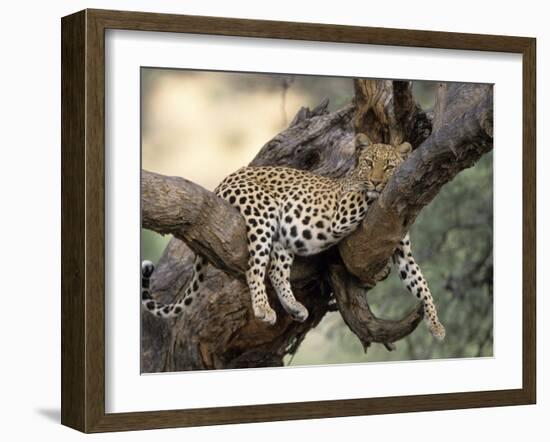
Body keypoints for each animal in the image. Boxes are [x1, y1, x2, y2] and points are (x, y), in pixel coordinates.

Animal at [142, 133, 448, 340]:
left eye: (389, 166)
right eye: (369, 163)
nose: (376, 180)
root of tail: (225, 179)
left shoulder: (403, 253)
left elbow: (422, 284)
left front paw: (435, 324)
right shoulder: (341, 212)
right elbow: (362, 194)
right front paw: (372, 188)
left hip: (283, 235)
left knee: (276, 271)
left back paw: (295, 308)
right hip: (262, 214)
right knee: (255, 267)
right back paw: (263, 309)